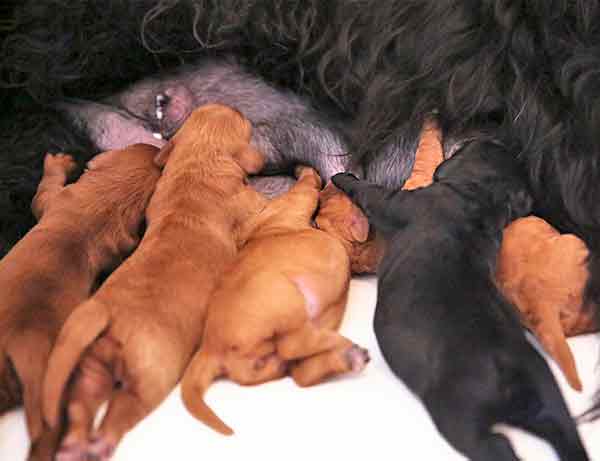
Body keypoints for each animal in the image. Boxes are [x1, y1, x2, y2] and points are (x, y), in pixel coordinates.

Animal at [0, 143, 161, 456]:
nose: (159, 146)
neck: (104, 204)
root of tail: (21, 338)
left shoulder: (54, 200)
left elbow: (44, 190)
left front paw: (58, 163)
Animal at [42, 104, 264, 460]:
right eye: (243, 121)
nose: (236, 106)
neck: (197, 161)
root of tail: (103, 312)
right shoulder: (246, 202)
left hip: (92, 366)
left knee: (81, 404)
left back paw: (72, 446)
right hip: (150, 375)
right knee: (121, 414)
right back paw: (100, 443)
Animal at [180, 165, 372, 434]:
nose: (343, 175)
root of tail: (210, 348)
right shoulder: (296, 202)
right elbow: (306, 187)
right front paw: (306, 170)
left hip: (278, 357)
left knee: (301, 370)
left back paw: (348, 357)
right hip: (282, 295)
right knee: (294, 347)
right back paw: (344, 346)